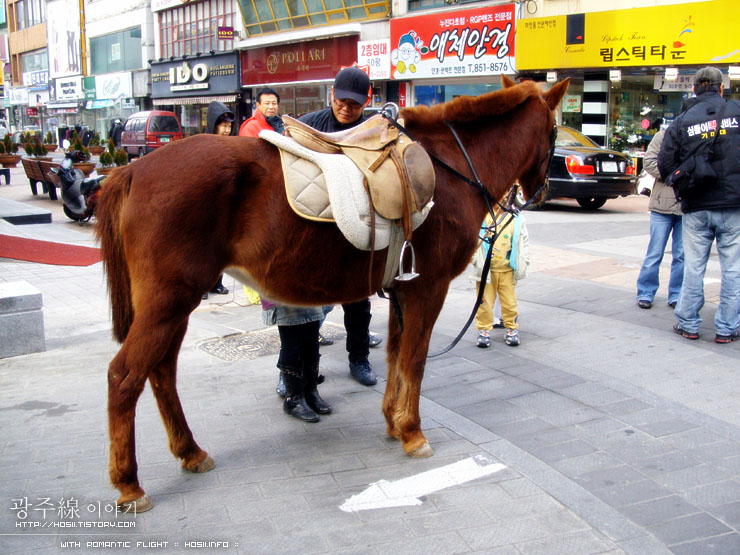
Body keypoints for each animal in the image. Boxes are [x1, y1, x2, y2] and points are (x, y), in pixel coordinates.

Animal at [92, 77, 568, 512]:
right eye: (555, 131)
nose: (545, 189)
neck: (450, 166)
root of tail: (131, 170)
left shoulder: (401, 290)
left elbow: (394, 355)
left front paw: (393, 423)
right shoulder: (427, 288)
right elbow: (414, 359)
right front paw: (413, 433)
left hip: (174, 305)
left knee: (161, 372)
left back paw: (190, 452)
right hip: (169, 302)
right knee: (124, 377)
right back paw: (130, 484)